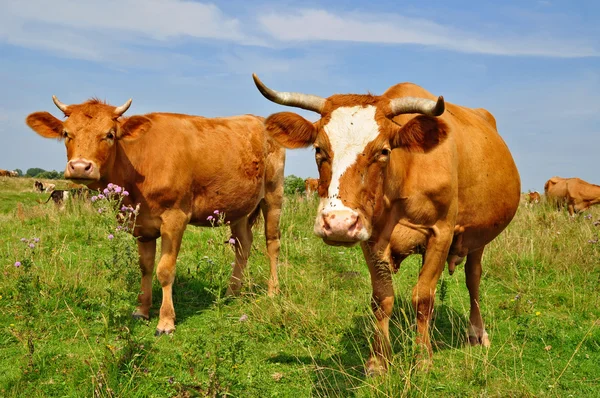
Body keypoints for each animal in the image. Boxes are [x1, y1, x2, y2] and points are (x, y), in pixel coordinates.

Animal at [28, 96, 288, 336]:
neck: (139, 165)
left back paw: (273, 292)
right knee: (243, 244)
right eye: (66, 133)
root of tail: (258, 119)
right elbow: (145, 266)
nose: (81, 167)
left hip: (273, 195)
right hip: (238, 207)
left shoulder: (175, 218)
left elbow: (164, 270)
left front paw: (166, 322)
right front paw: (142, 310)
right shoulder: (140, 224)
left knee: (272, 243)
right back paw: (231, 292)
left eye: (110, 134)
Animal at [253, 72, 520, 374]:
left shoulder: (441, 233)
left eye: (383, 151)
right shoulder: (370, 237)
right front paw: (379, 360)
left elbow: (423, 297)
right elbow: (382, 298)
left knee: (473, 278)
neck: (404, 175)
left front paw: (423, 358)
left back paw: (476, 332)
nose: (339, 223)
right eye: (319, 149)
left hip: (477, 238)